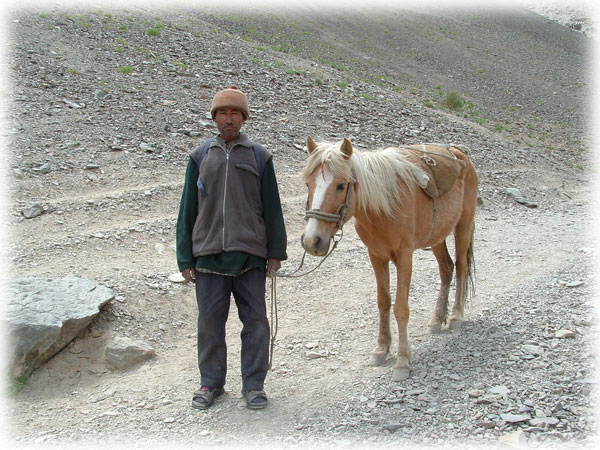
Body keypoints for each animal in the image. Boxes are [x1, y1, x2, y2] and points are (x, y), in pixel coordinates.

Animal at [300, 136, 478, 380]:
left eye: (341, 185)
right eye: (309, 184)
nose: (312, 241)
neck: (384, 205)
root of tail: (461, 155)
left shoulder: (404, 257)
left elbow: (400, 308)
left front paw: (403, 360)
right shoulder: (376, 256)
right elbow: (383, 302)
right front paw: (381, 349)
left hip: (463, 227)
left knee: (460, 267)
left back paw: (456, 317)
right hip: (437, 236)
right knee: (447, 268)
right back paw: (436, 319)